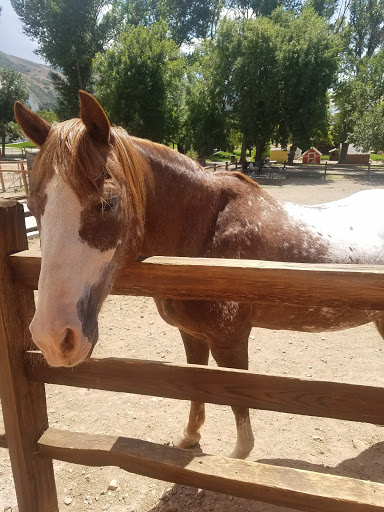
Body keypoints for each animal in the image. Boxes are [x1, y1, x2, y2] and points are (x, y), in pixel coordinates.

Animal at [15, 91, 384, 460]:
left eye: (109, 202)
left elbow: (237, 406)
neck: (204, 234)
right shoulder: (192, 334)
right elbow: (195, 386)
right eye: (33, 206)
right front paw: (190, 438)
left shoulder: (230, 341)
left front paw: (235, 459)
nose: (53, 338)